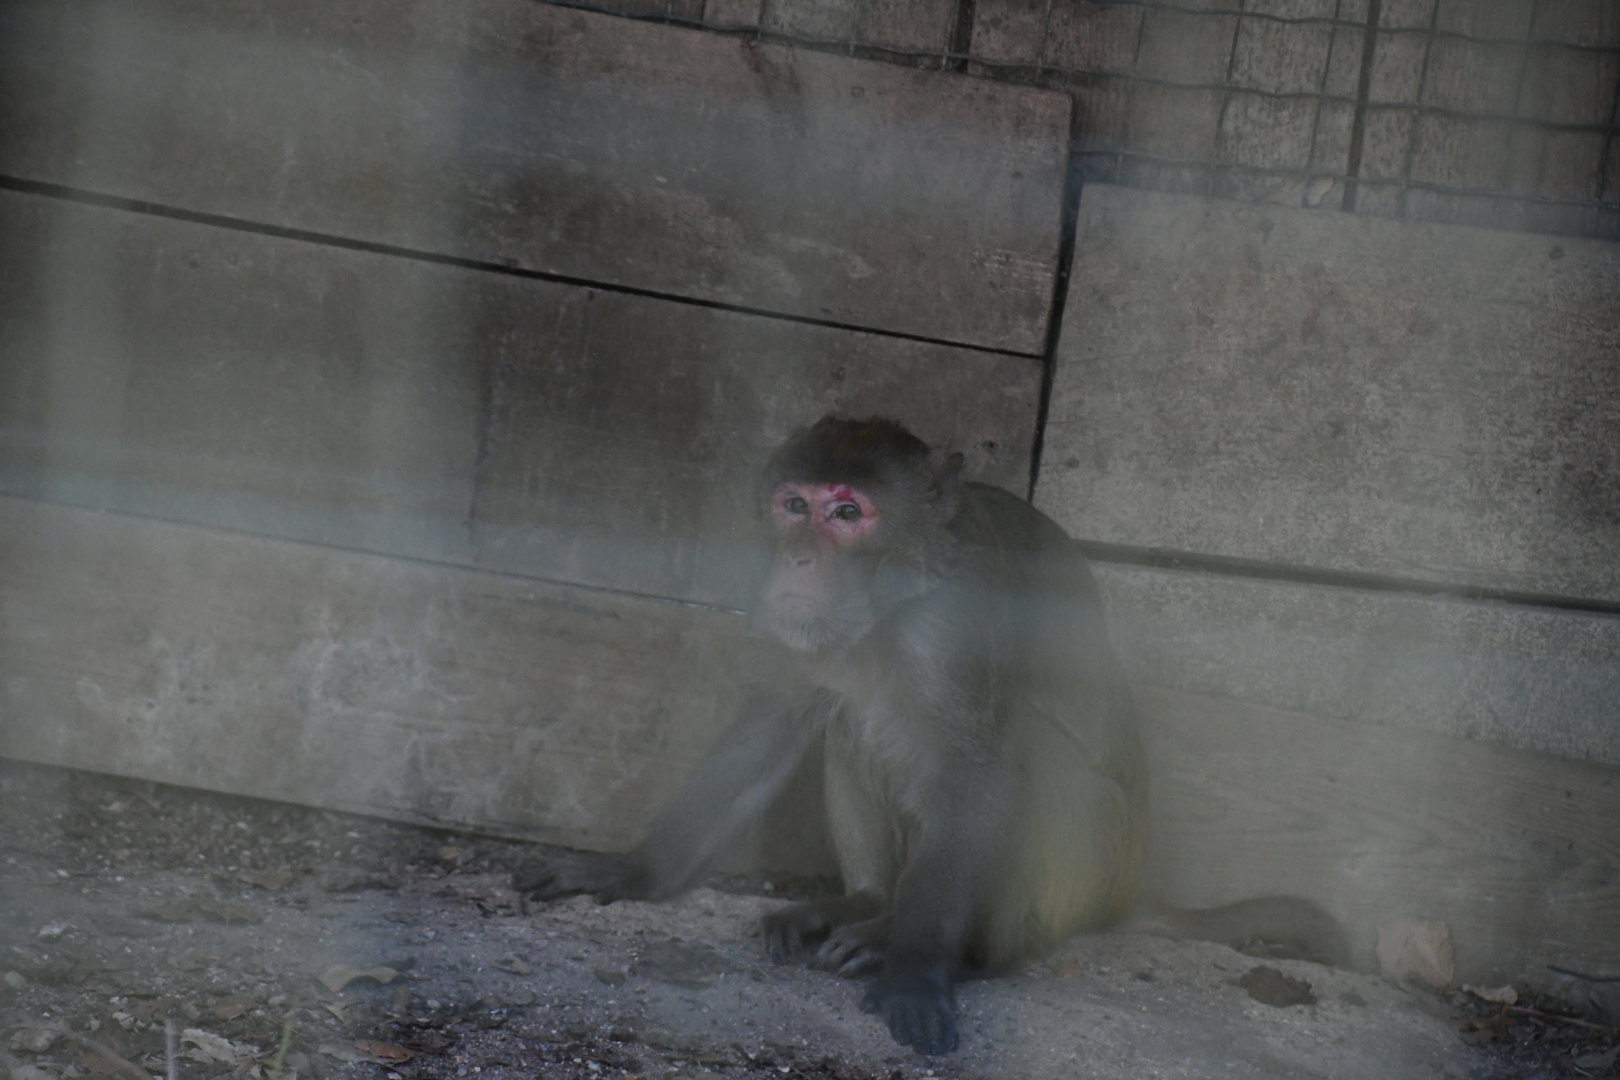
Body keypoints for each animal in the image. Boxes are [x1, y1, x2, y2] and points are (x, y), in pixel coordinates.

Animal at [517, 415, 1148, 1055]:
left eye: (847, 512)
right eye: (795, 505)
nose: (797, 560)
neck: (893, 602)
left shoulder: (957, 621)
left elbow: (971, 770)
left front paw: (918, 973)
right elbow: (772, 722)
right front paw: (637, 869)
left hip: (1094, 870)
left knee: (1033, 750)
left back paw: (945, 949)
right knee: (849, 732)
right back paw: (861, 904)